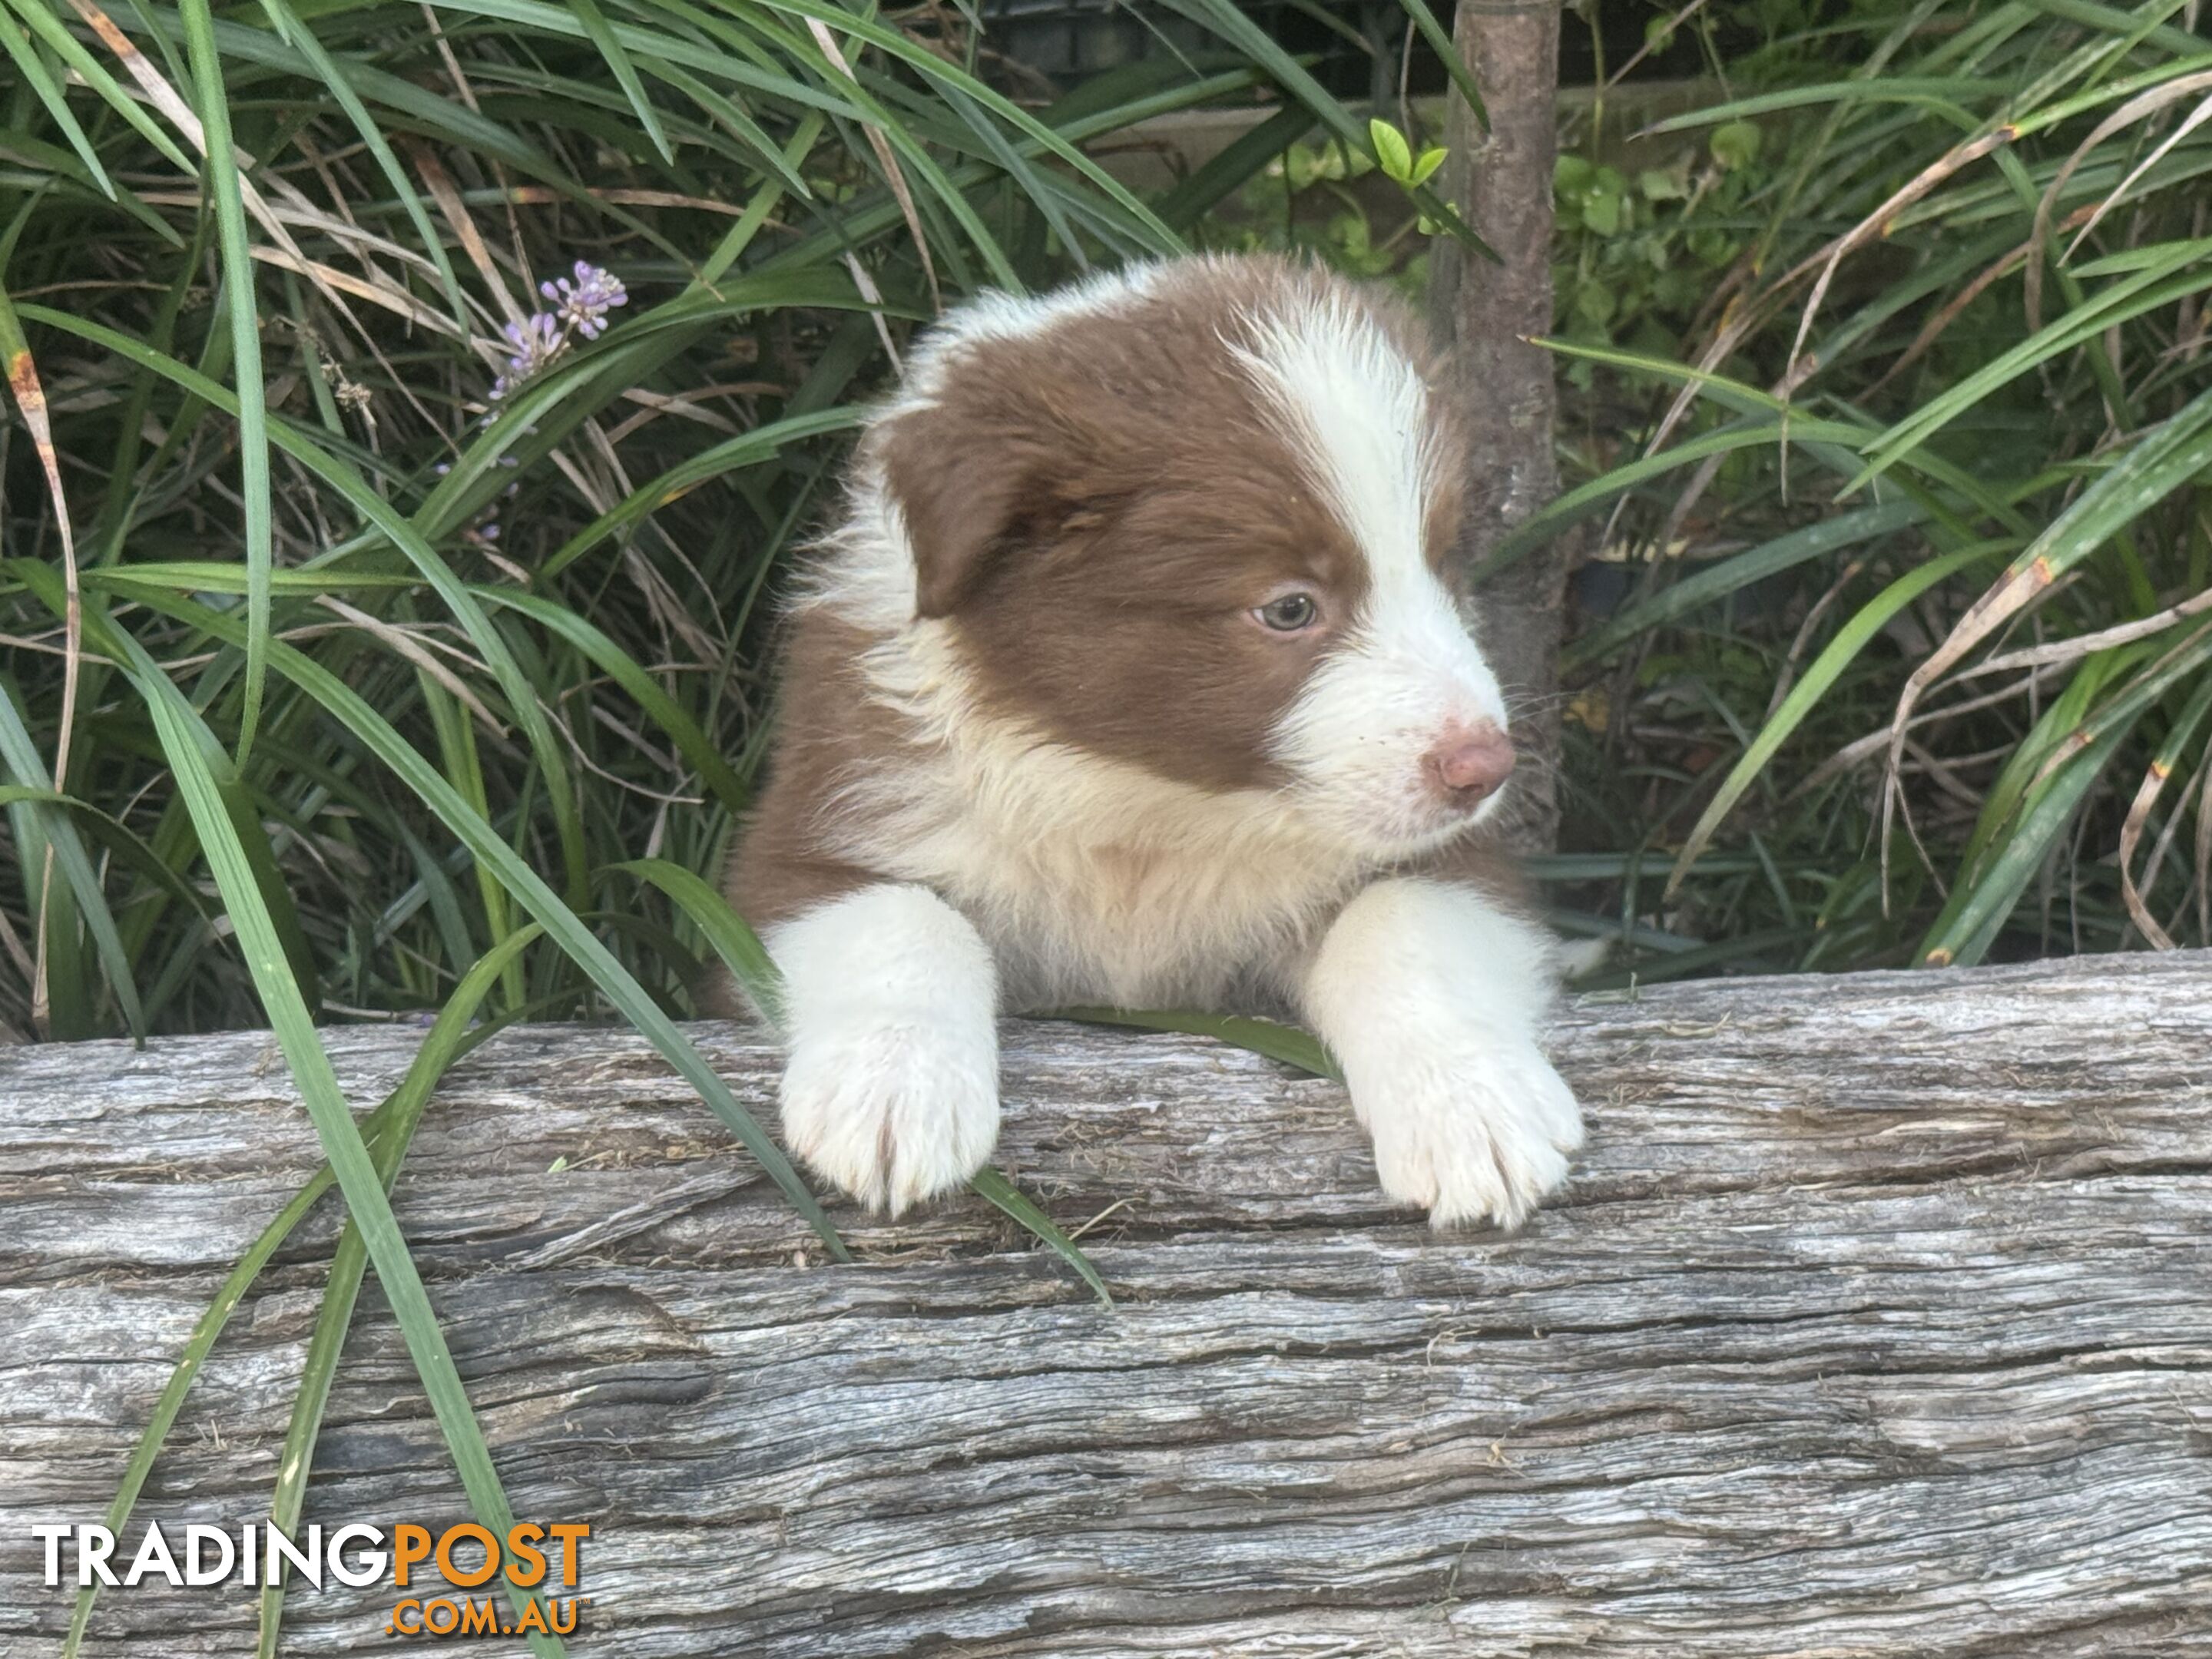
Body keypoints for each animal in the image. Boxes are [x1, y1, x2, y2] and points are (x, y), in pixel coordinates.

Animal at [734, 253, 1584, 1230]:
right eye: (1289, 608)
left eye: (1442, 565)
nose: (1485, 768)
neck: (1151, 806)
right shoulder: (814, 834)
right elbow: (902, 916)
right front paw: (891, 1088)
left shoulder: (1462, 862)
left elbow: (1400, 918)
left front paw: (1475, 1108)